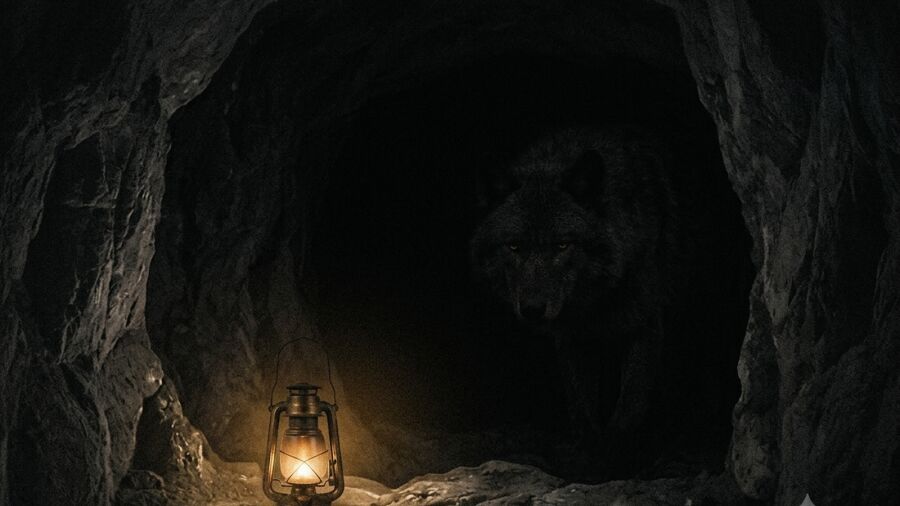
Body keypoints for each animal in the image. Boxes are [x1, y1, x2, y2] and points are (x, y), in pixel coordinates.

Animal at [470, 127, 677, 455]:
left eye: (562, 245)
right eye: (514, 246)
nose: (533, 309)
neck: (597, 302)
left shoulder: (646, 323)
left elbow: (630, 406)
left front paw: (616, 454)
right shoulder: (572, 335)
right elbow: (582, 406)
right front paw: (587, 453)